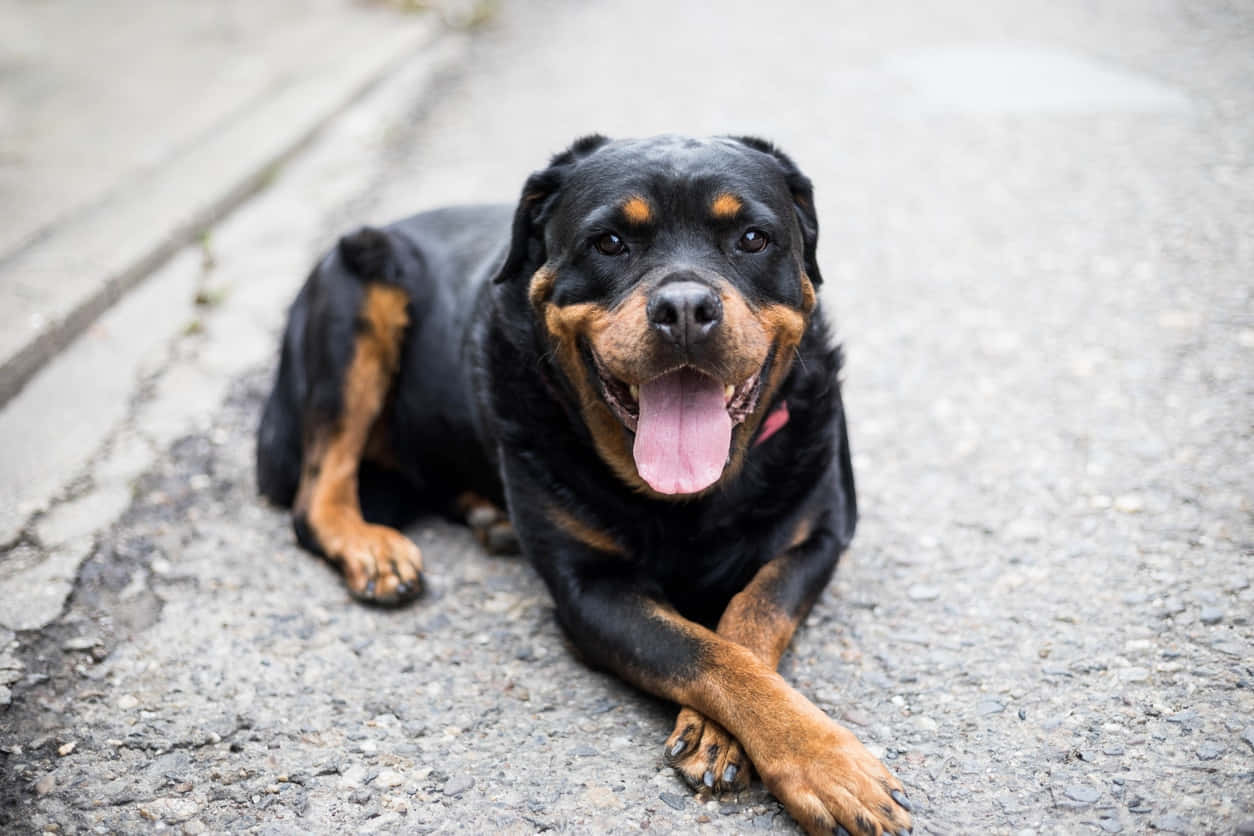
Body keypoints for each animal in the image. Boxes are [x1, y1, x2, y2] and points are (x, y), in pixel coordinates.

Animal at [259, 134, 917, 832]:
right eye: (609, 242)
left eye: (752, 238)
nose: (686, 308)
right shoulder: (589, 589)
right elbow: (706, 652)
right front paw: (825, 762)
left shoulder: (818, 537)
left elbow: (751, 617)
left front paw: (744, 738)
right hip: (357, 291)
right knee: (317, 491)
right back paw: (374, 548)